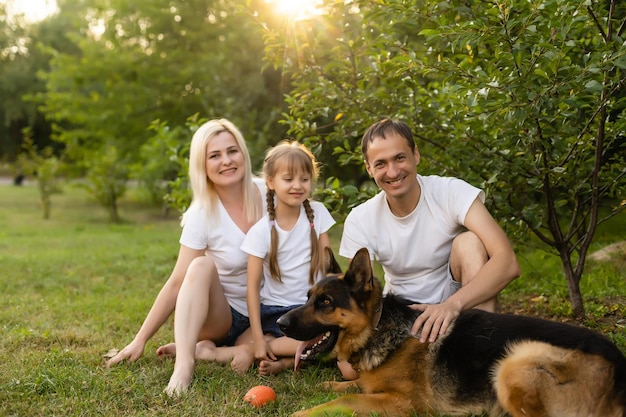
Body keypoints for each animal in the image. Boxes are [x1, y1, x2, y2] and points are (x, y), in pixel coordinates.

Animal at [276, 249, 624, 414]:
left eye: (325, 303)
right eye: (308, 297)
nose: (280, 324)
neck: (378, 328)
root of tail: (619, 366)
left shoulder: (405, 404)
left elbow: (345, 399)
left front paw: (304, 412)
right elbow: (350, 385)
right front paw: (329, 384)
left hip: (514, 363)